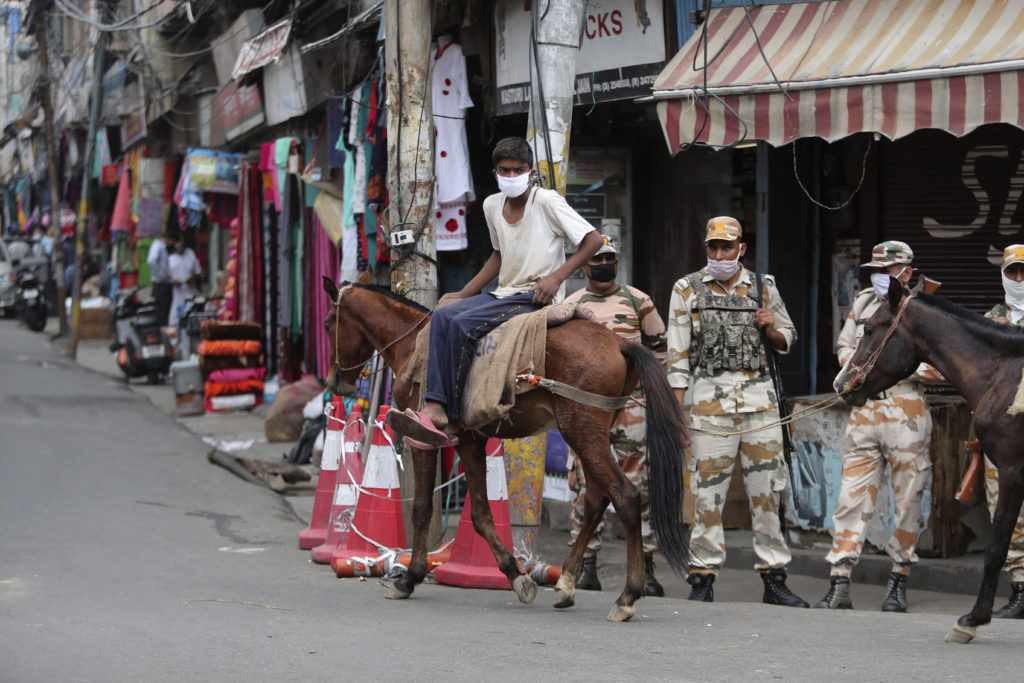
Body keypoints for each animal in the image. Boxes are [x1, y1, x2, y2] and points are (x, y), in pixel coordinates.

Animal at [321, 278, 688, 626]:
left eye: (327, 324)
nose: (334, 382)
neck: (411, 344)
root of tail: (622, 342)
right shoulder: (469, 442)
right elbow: (481, 516)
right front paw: (516, 575)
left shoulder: (421, 439)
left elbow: (422, 509)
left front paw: (409, 578)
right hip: (591, 434)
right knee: (597, 500)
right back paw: (567, 581)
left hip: (582, 431)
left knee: (626, 497)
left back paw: (627, 596)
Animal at [839, 274, 1024, 643]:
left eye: (869, 329)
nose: (842, 382)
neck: (1004, 375)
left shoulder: (1012, 471)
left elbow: (996, 548)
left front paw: (972, 619)